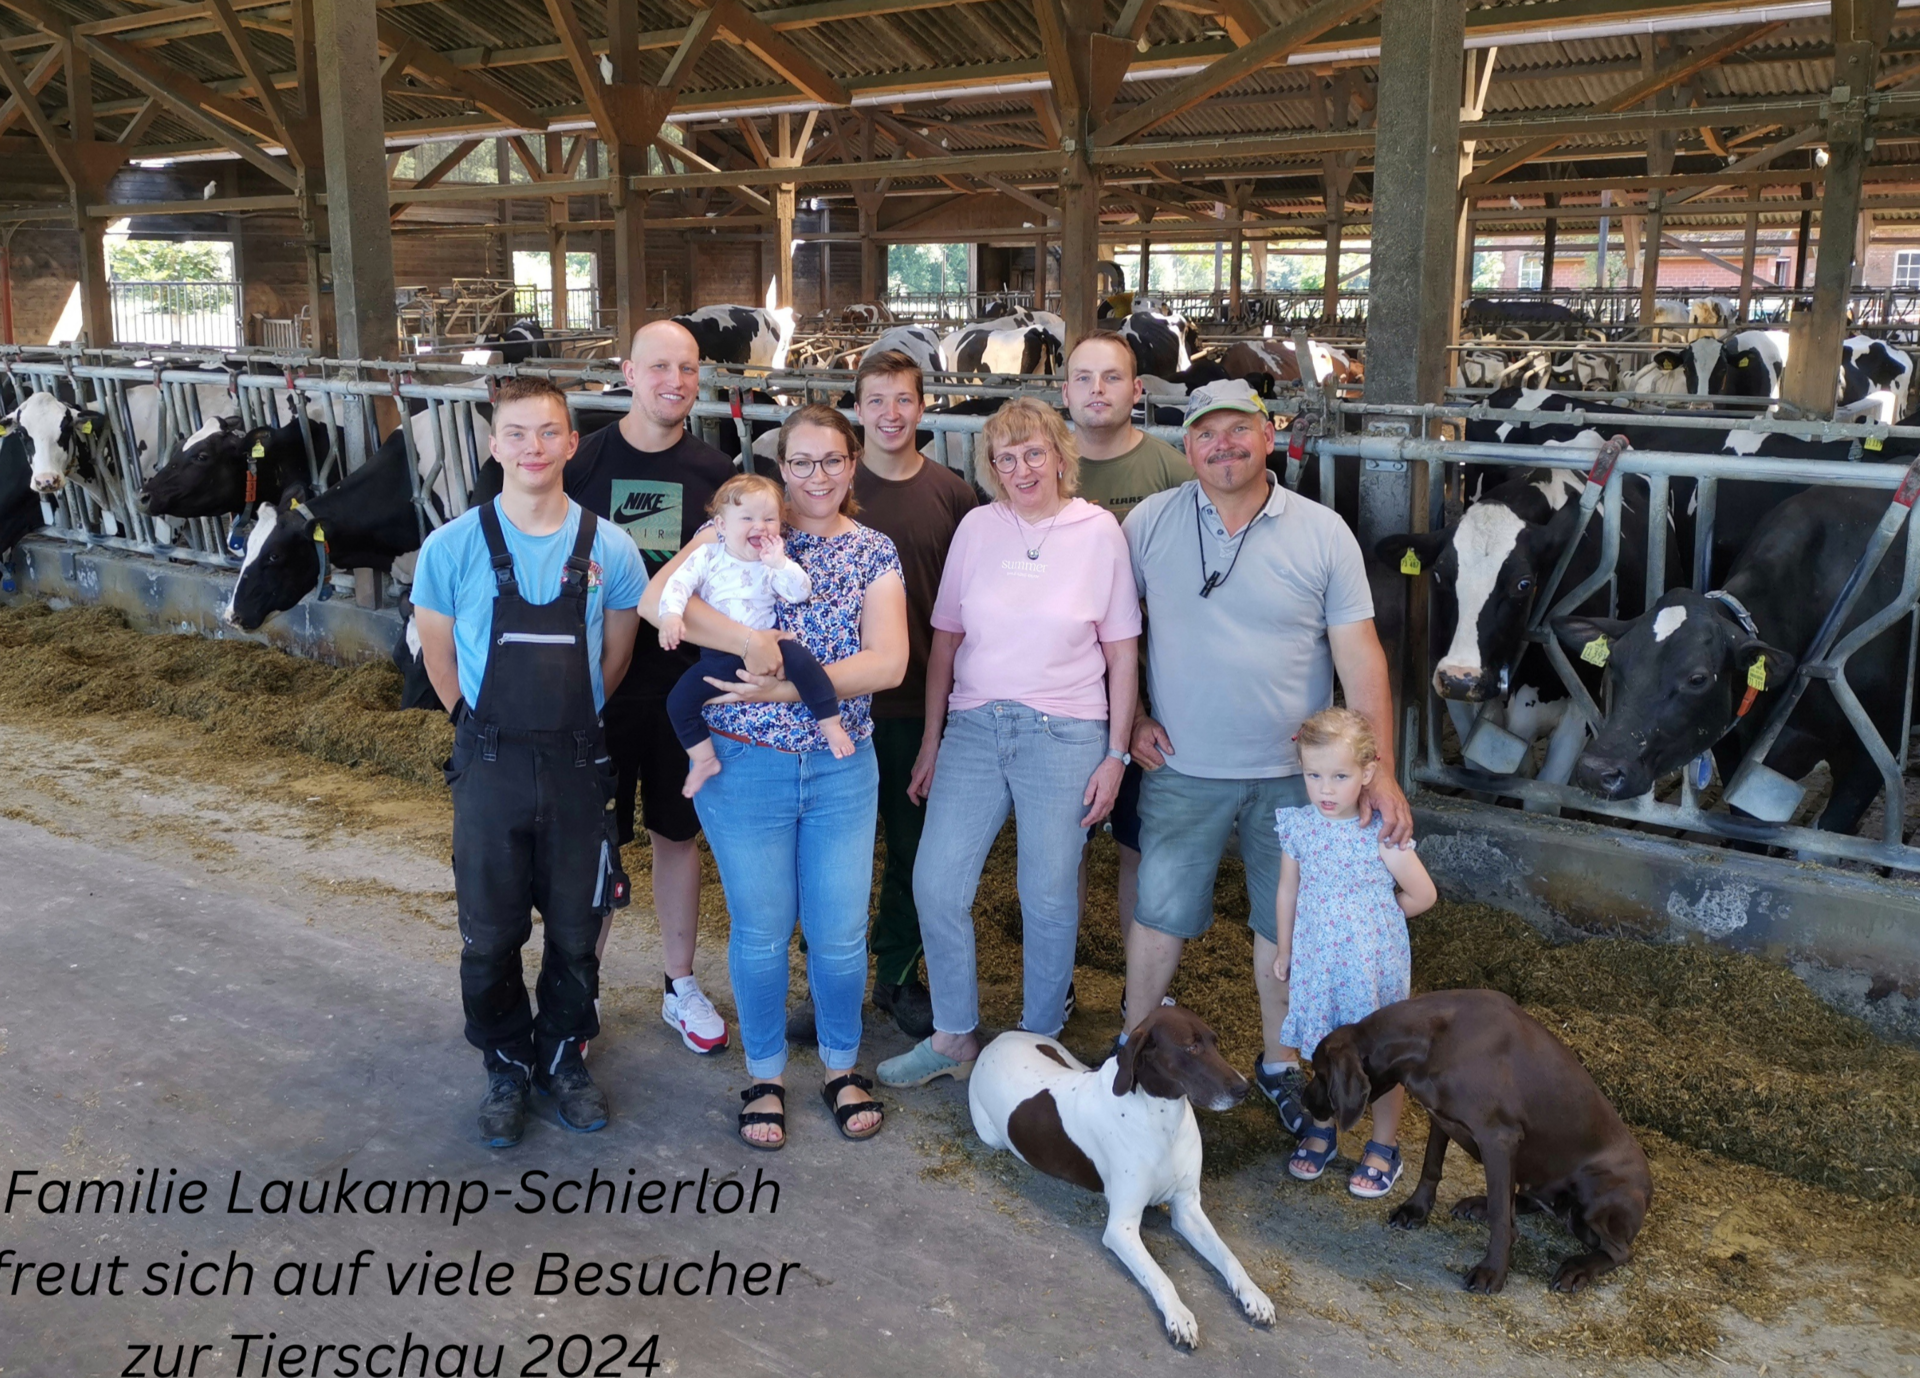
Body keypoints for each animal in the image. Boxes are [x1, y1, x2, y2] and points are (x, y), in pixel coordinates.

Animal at [968, 1006, 1276, 1347]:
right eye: (1191, 1047)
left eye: (1215, 1042)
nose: (1243, 1088)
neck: (1162, 1118)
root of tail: (1001, 1038)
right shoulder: (1121, 1228)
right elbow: (1160, 1276)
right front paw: (1179, 1315)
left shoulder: (1188, 1208)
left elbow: (1228, 1255)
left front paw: (1254, 1295)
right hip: (992, 1136)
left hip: (1071, 1061)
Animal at [1303, 989, 1652, 1295]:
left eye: (1320, 1074)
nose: (1304, 1100)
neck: (1430, 1040)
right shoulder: (1439, 1117)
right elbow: (1431, 1167)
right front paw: (1415, 1210)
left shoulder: (1498, 1139)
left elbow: (1500, 1216)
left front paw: (1492, 1271)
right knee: (1528, 1200)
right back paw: (1479, 1204)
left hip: (1596, 1196)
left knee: (1619, 1251)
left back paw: (1576, 1268)